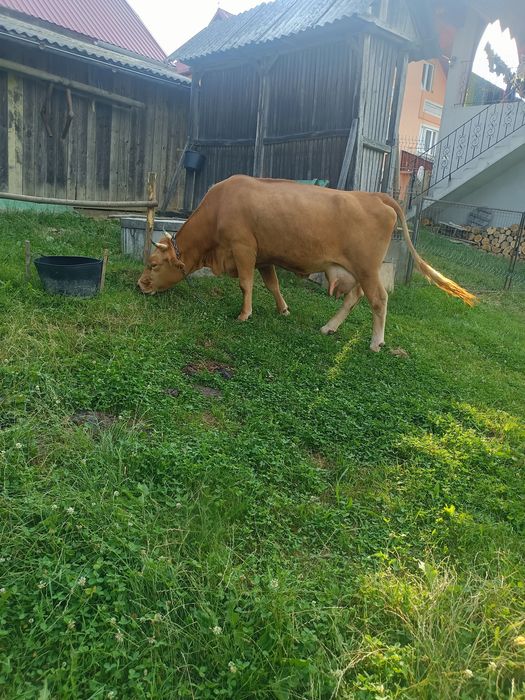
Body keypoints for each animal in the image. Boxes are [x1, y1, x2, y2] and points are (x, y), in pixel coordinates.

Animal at [138, 175, 476, 351]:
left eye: (153, 264)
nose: (140, 285)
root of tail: (374, 196)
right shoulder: (264, 256)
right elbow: (272, 284)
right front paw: (283, 309)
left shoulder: (244, 248)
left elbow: (246, 284)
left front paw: (244, 314)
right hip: (357, 270)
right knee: (355, 297)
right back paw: (329, 327)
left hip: (367, 267)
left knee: (379, 300)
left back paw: (376, 342)